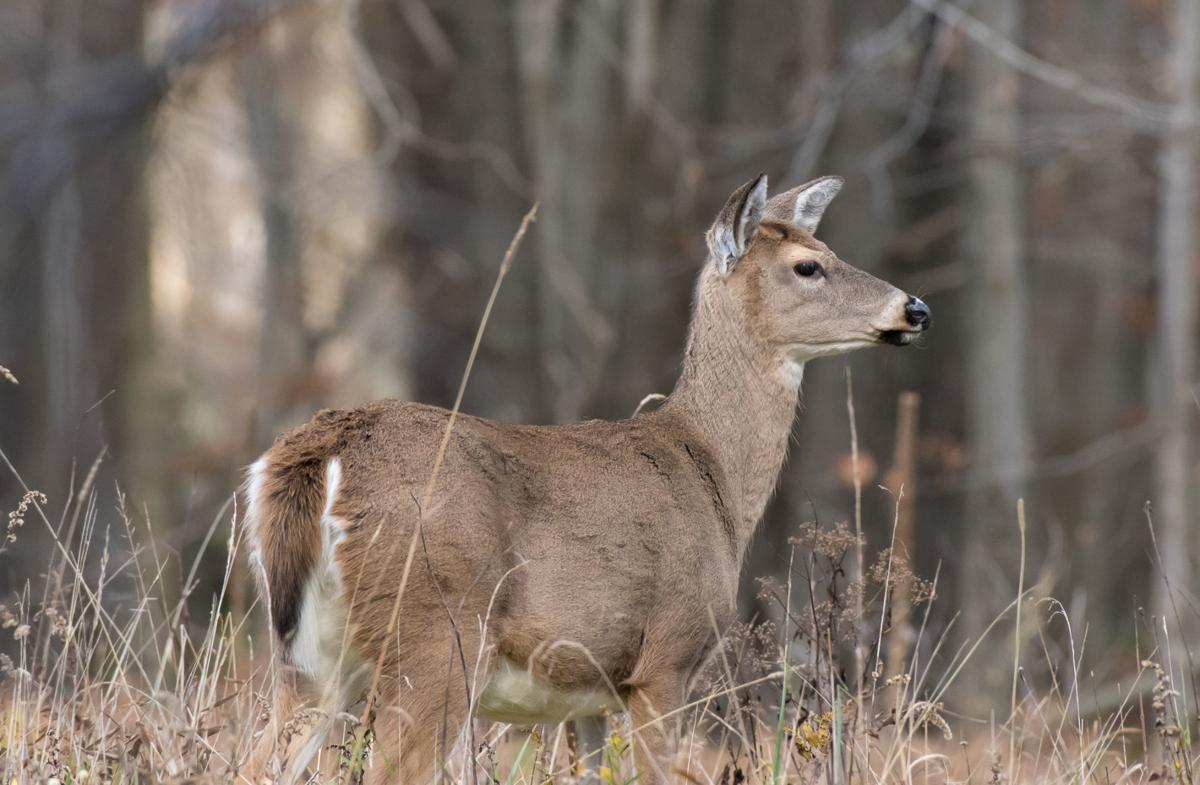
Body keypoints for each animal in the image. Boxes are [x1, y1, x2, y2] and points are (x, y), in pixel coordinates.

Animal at [248, 176, 931, 785]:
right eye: (808, 266)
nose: (916, 308)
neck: (713, 472)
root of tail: (322, 450)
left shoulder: (587, 696)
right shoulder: (667, 659)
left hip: (310, 656)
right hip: (436, 635)